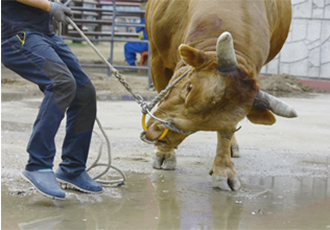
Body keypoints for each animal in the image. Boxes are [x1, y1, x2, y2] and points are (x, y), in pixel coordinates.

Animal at [144, 0, 296, 190]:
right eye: (190, 87)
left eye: (209, 123)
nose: (158, 136)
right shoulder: (158, 62)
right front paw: (165, 154)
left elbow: (226, 132)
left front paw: (224, 170)